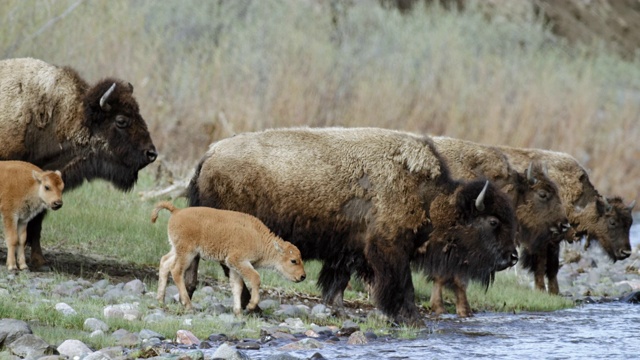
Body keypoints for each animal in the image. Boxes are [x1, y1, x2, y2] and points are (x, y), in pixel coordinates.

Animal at [152, 202, 308, 316]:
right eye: (293, 260)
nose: (303, 276)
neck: (258, 237)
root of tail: (177, 211)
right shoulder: (238, 261)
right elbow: (255, 278)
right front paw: (251, 305)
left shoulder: (234, 267)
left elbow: (237, 286)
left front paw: (238, 312)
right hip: (188, 253)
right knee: (176, 271)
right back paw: (188, 306)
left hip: (176, 249)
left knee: (165, 262)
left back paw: (160, 300)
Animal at [182, 126, 516, 324]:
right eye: (493, 221)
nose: (512, 257)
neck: (430, 197)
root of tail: (209, 155)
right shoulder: (389, 251)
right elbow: (401, 286)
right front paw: (410, 318)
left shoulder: (349, 251)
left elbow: (337, 282)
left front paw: (337, 309)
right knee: (235, 269)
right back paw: (253, 307)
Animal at [500, 145, 636, 294]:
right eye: (612, 222)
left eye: (630, 223)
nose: (626, 252)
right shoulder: (546, 240)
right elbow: (544, 266)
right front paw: (545, 290)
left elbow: (552, 267)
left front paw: (553, 292)